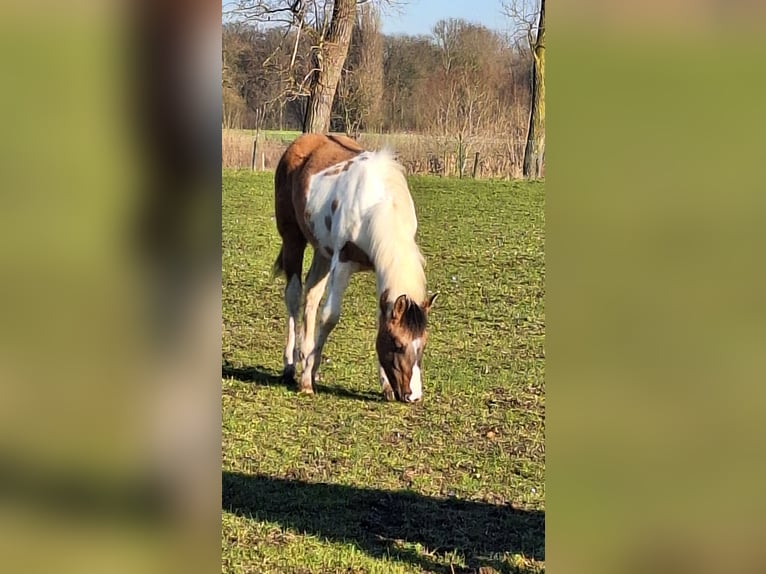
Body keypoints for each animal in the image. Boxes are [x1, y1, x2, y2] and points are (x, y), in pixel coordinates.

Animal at [274, 134, 438, 404]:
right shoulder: (342, 261)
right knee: (294, 295)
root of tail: (302, 142)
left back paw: (306, 356)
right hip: (293, 238)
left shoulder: (379, 266)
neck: (377, 204)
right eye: (397, 344)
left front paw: (386, 387)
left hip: (322, 250)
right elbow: (330, 316)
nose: (413, 396)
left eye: (422, 344)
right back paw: (290, 365)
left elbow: (380, 317)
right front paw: (307, 381)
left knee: (311, 296)